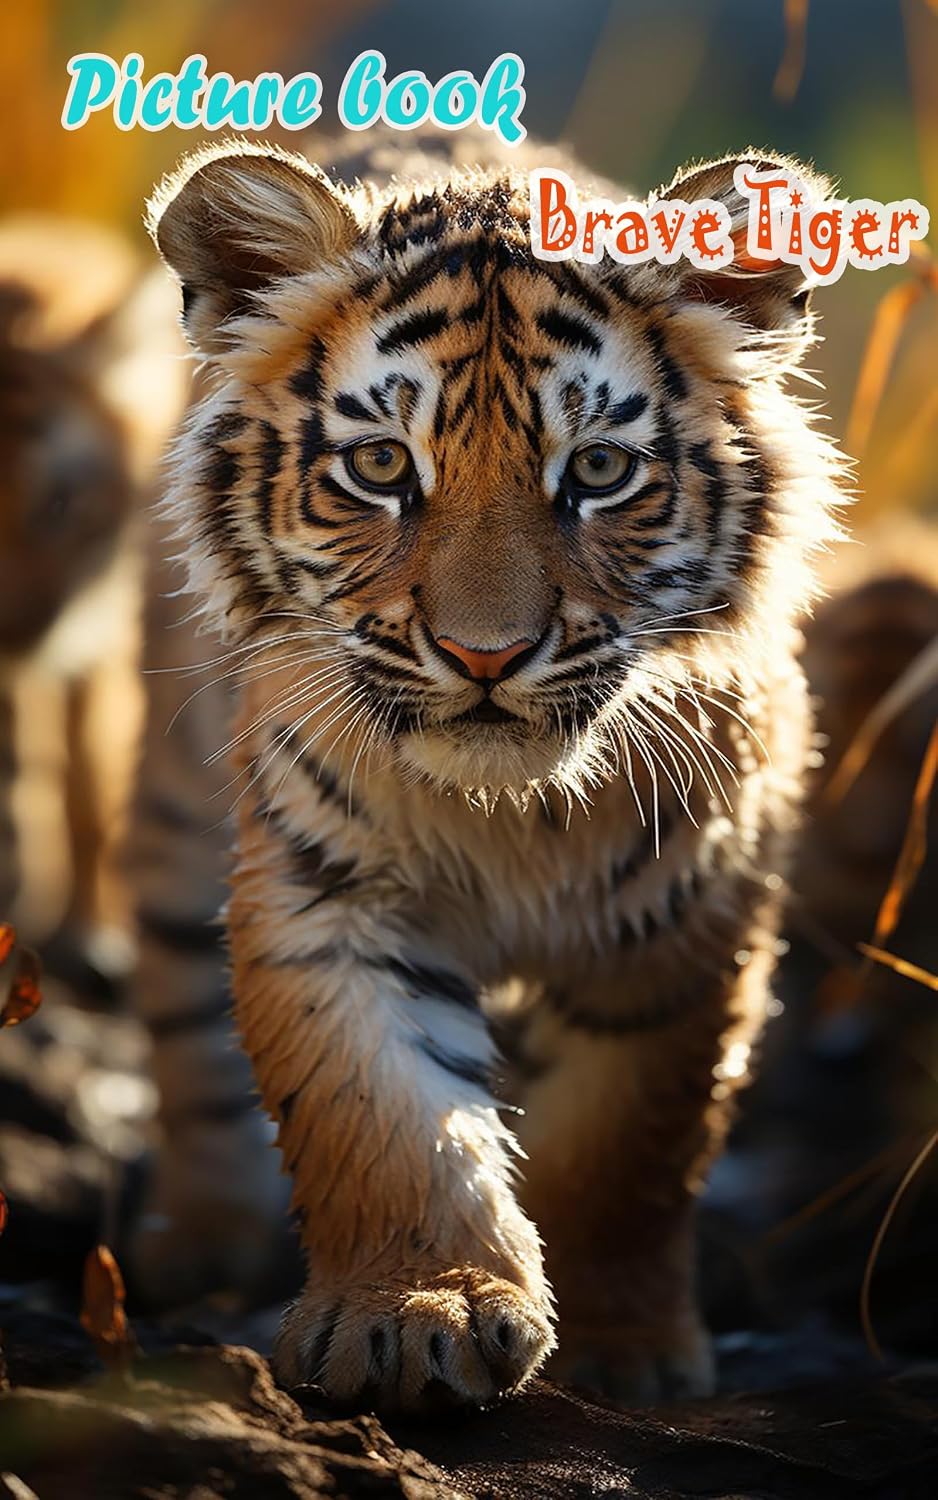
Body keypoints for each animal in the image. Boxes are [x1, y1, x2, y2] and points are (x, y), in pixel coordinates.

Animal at [145, 131, 845, 1414]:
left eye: (600, 470)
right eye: (381, 465)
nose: (483, 654)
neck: (510, 813)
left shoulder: (687, 918)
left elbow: (629, 1150)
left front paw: (627, 1355)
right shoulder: (329, 895)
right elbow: (377, 1114)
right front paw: (414, 1315)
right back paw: (199, 1240)